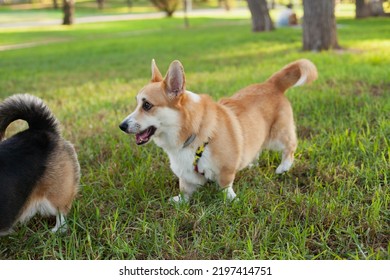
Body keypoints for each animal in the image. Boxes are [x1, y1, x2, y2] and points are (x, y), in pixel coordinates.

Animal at [119, 59, 316, 203]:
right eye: (137, 103)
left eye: (147, 105)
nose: (122, 126)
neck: (194, 133)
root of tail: (272, 84)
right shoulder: (186, 174)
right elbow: (185, 190)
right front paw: (180, 201)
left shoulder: (225, 171)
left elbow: (225, 186)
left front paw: (231, 200)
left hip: (277, 136)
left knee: (290, 146)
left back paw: (284, 166)